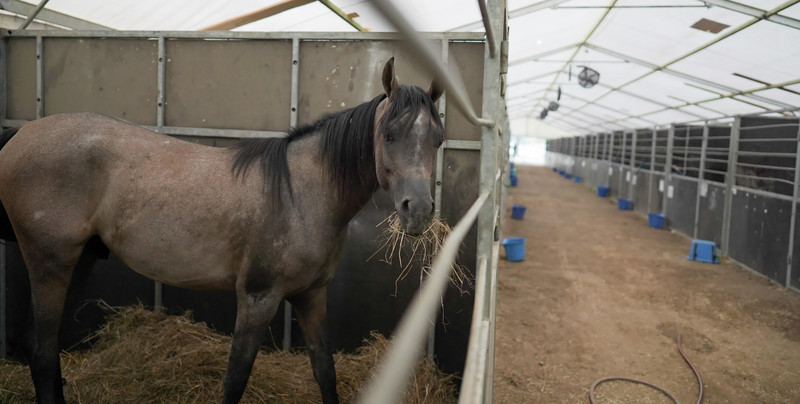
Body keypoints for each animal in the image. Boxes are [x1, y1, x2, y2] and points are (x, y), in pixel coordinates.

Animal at [0, 57, 444, 404]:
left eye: (438, 140)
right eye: (388, 135)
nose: (419, 211)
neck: (300, 193)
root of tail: (21, 135)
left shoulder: (311, 296)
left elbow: (325, 373)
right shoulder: (258, 298)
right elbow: (235, 380)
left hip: (80, 260)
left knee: (43, 346)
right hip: (49, 264)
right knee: (42, 351)